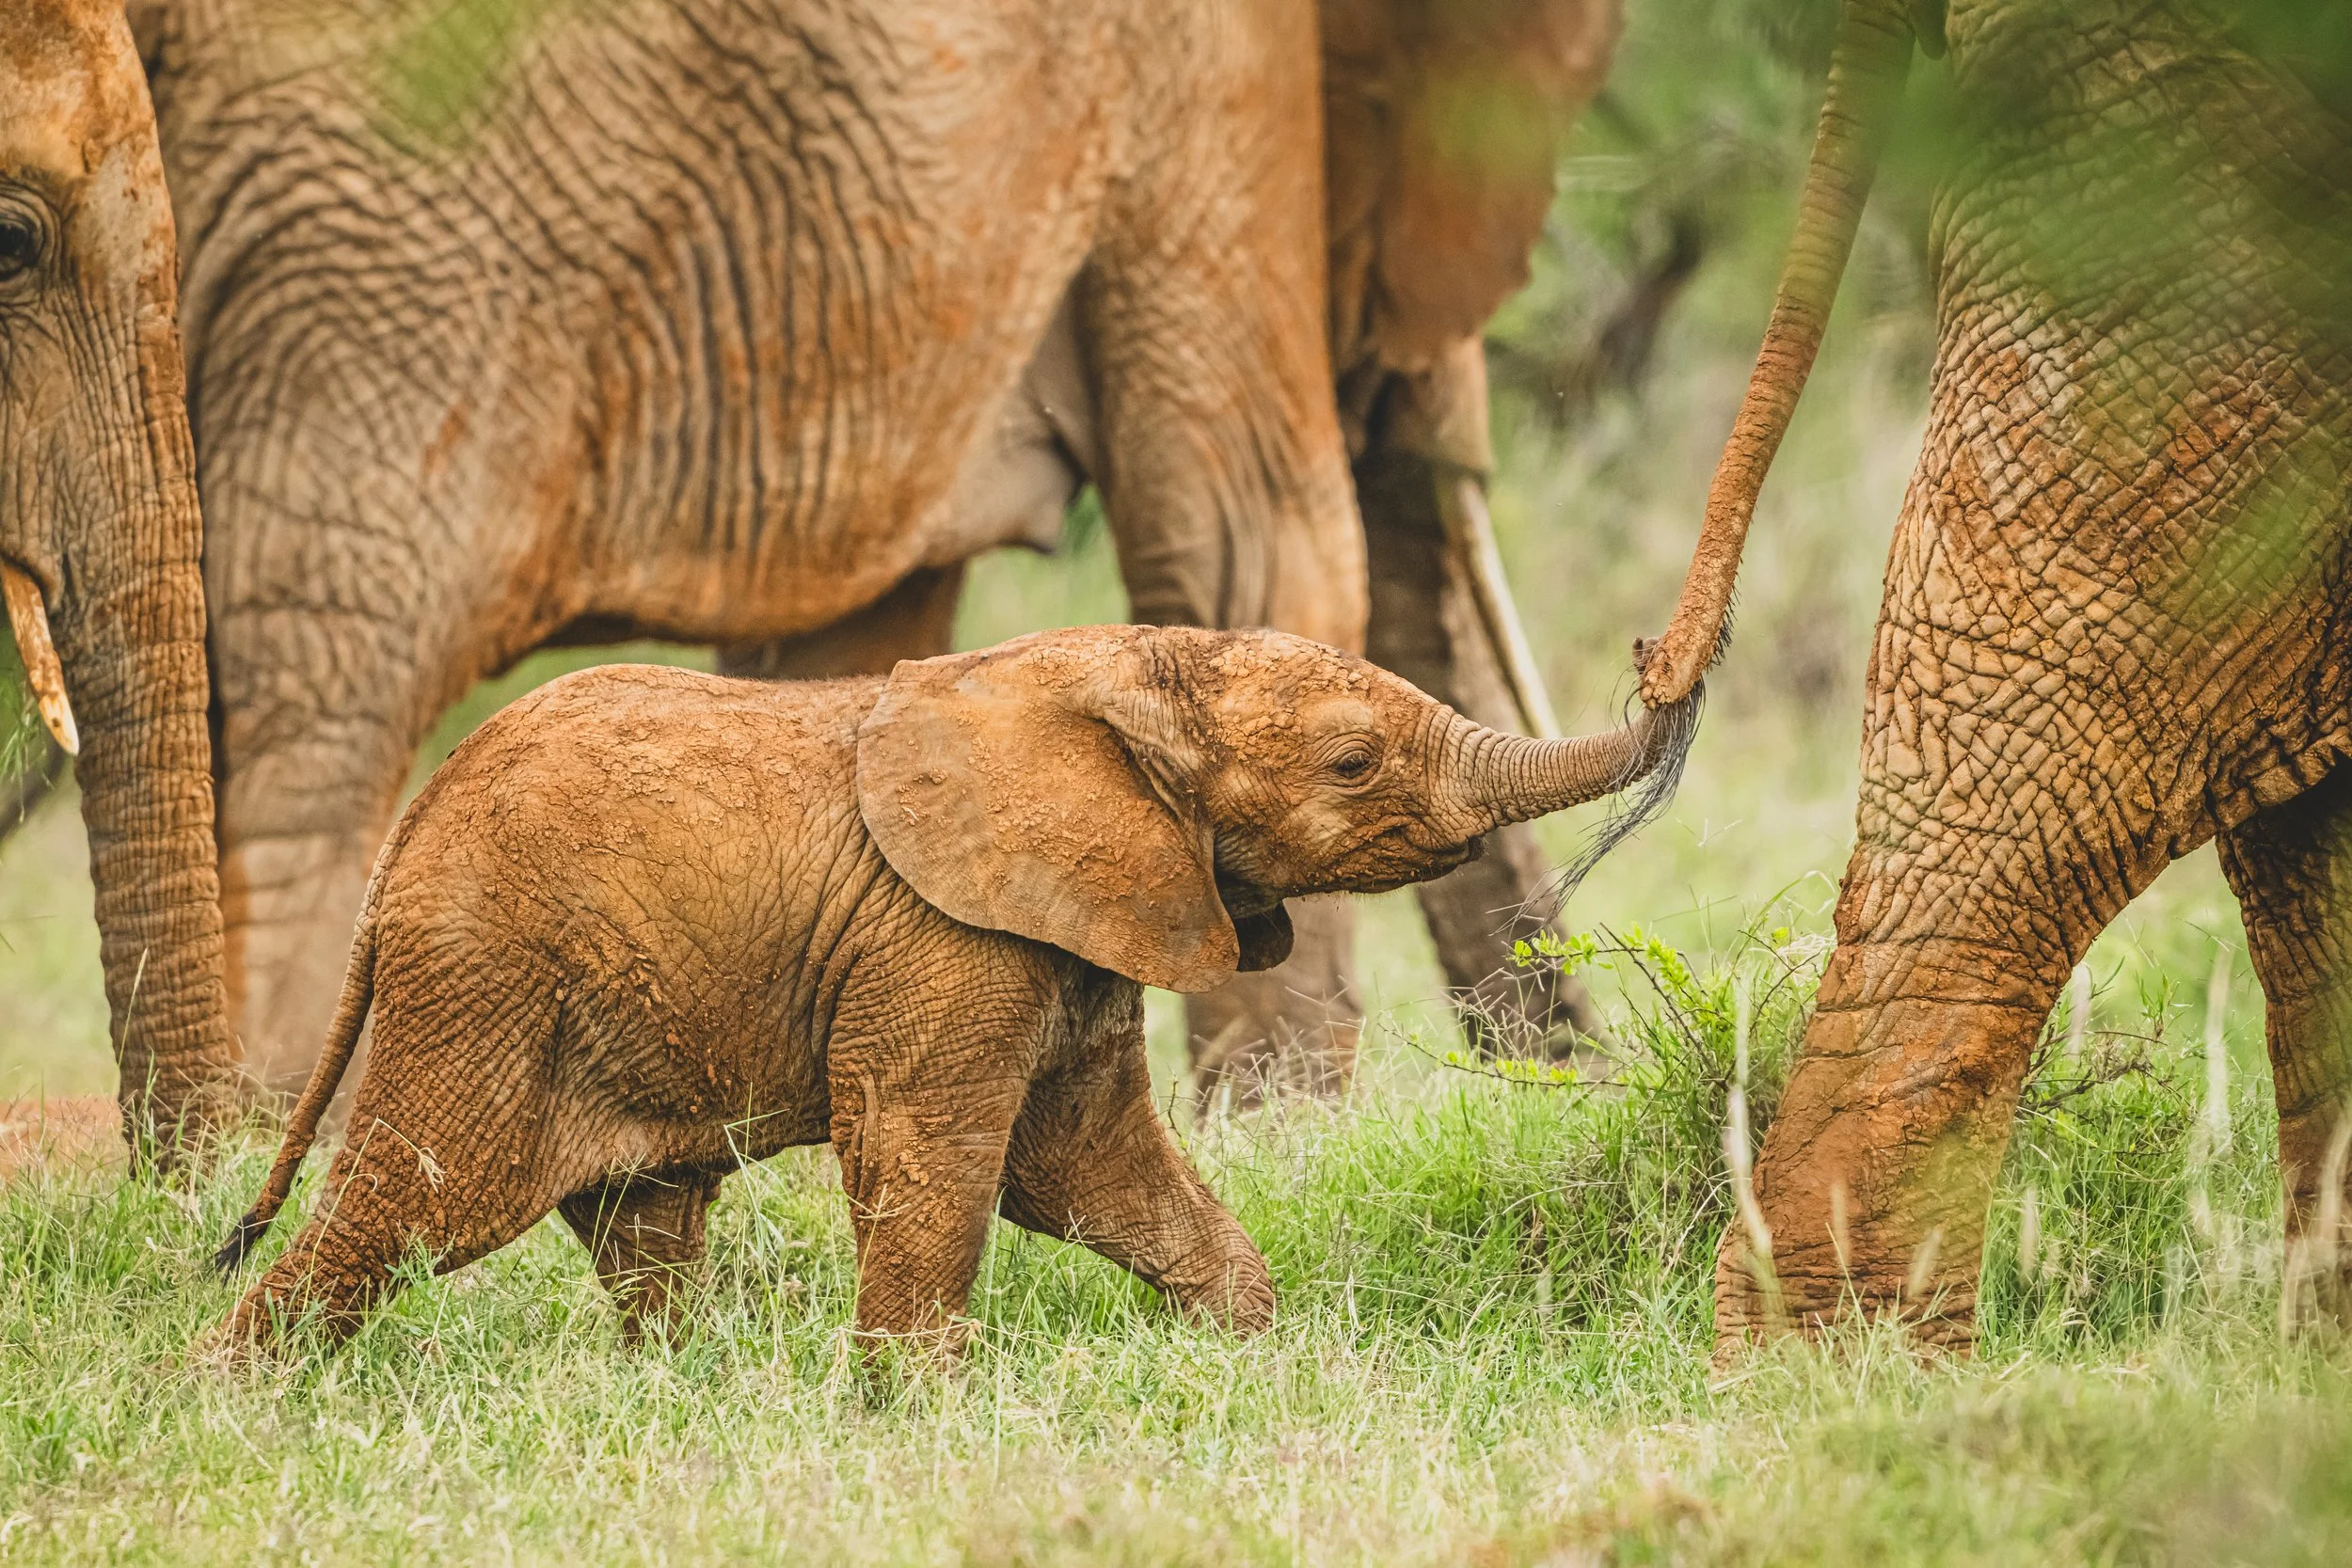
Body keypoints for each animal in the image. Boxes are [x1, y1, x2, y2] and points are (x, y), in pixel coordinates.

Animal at [40, 0, 1631, 1127]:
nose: (1561, 1083)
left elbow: (849, 657)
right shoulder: (1214, 85)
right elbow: (1258, 547)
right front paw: (1285, 1135)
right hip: (394, 243)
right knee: (321, 707)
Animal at [208, 624, 1679, 1354]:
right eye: (1352, 763)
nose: (1662, 672)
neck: (1107, 664)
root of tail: (404, 841)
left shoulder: (1081, 920)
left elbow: (1086, 1161)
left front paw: (1250, 1349)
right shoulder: (942, 932)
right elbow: (937, 1148)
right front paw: (915, 1406)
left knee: (642, 1220)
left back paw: (677, 1381)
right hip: (483, 978)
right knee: (410, 1206)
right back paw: (235, 1388)